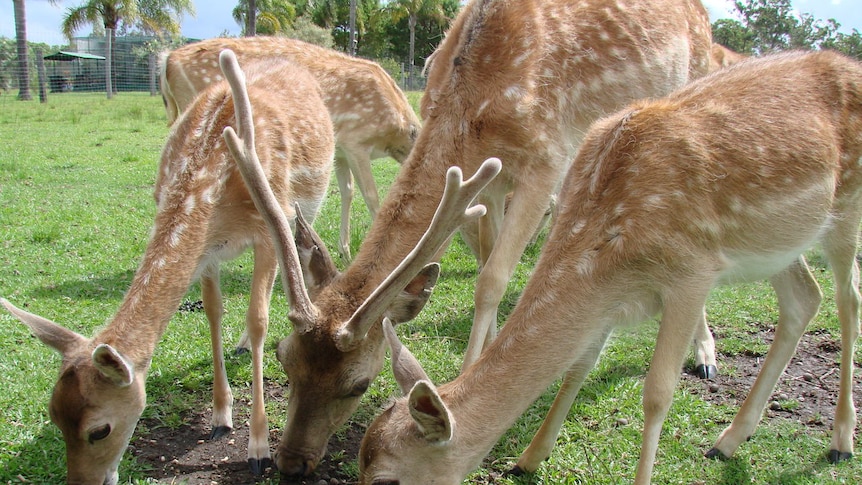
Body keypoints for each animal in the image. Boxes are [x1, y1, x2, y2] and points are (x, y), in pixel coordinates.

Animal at [0, 49, 336, 480]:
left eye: (99, 429)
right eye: (53, 416)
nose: (82, 482)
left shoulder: (265, 230)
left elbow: (259, 318)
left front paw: (258, 447)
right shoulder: (207, 254)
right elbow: (213, 313)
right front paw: (220, 417)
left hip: (302, 209)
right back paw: (240, 346)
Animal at [161, 36, 422, 264]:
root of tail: (167, 61)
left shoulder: (339, 152)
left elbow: (347, 192)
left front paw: (344, 251)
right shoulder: (355, 141)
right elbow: (371, 195)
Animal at [356, 49, 862, 484]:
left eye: (385, 479)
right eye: (361, 457)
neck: (610, 245)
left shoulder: (692, 271)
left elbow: (657, 393)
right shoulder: (612, 297)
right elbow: (578, 366)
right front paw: (528, 458)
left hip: (845, 212)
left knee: (846, 298)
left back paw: (840, 441)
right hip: (781, 241)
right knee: (804, 298)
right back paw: (729, 441)